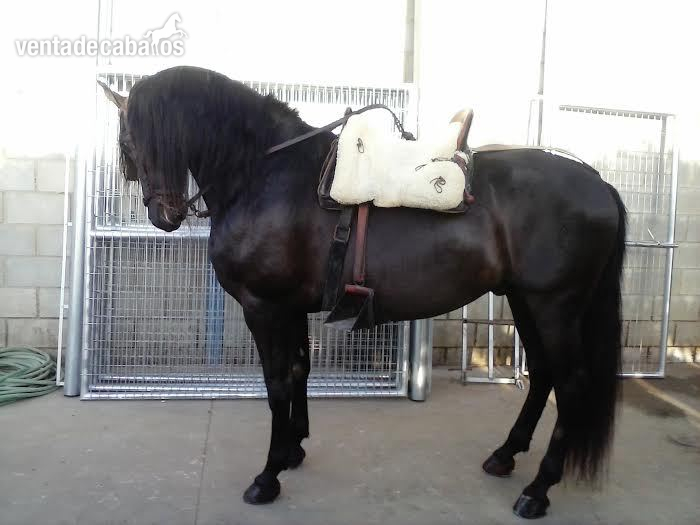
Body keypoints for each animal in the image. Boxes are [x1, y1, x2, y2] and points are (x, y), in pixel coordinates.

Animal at [99, 65, 626, 519]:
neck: (266, 176)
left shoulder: (263, 308)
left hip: (555, 306)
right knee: (543, 375)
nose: (164, 216)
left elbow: (276, 383)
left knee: (570, 384)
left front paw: (267, 477)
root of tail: (599, 183)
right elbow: (299, 370)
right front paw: (292, 449)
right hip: (525, 300)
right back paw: (506, 455)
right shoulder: (291, 308)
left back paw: (538, 490)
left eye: (127, 143)